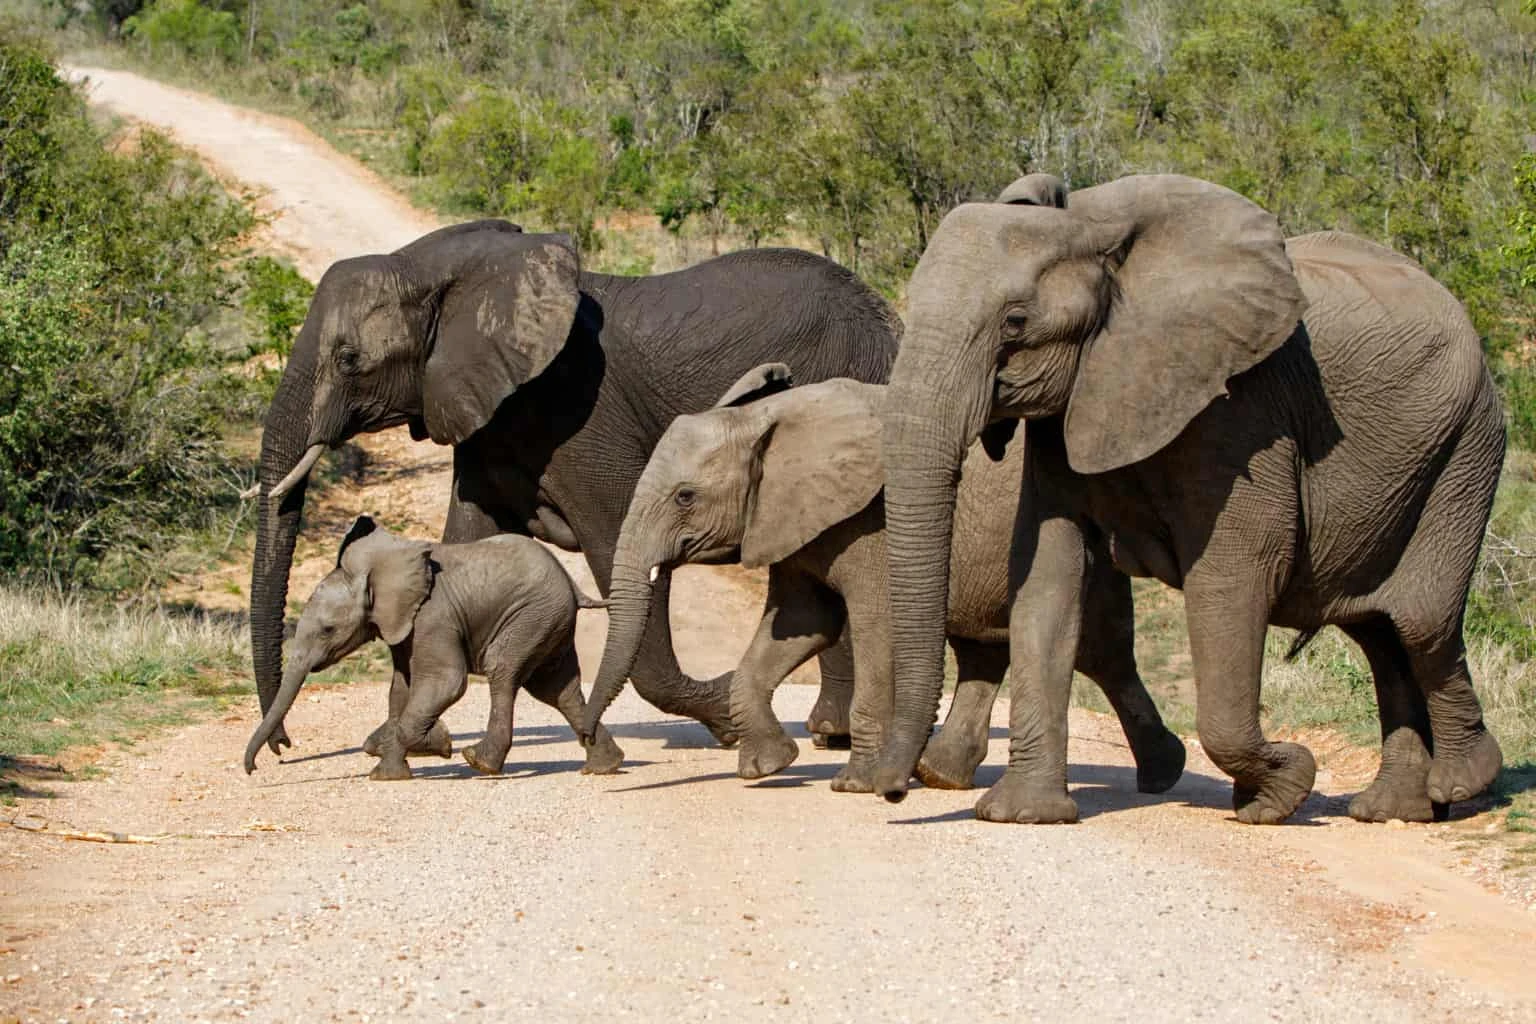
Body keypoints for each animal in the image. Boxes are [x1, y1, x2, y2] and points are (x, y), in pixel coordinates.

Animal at [245, 515, 617, 779]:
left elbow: (446, 682)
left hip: (531, 616)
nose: (255, 767)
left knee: (503, 671)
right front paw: (388, 769)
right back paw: (605, 766)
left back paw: (480, 762)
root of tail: (570, 583)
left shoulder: (433, 617)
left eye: (327, 629)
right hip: (548, 623)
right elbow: (400, 688)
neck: (375, 572)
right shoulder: (402, 625)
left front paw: (438, 744)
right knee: (557, 690)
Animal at [577, 363, 1185, 798]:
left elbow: (874, 626)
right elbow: (801, 625)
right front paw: (765, 767)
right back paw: (938, 776)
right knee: (984, 650)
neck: (769, 418)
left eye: (685, 497)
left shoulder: (873, 522)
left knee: (1101, 653)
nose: (592, 755)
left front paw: (854, 784)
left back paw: (1163, 776)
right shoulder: (791, 521)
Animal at [872, 174, 1505, 822]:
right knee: (1379, 631)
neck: (1091, 229)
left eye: (1016, 322)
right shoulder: (1070, 409)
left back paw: (1462, 781)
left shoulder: (1241, 411)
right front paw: (1024, 814)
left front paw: (1280, 790)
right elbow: (1045, 573)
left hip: (1465, 446)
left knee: (1419, 620)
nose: (892, 791)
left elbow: (1234, 572)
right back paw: (1393, 809)